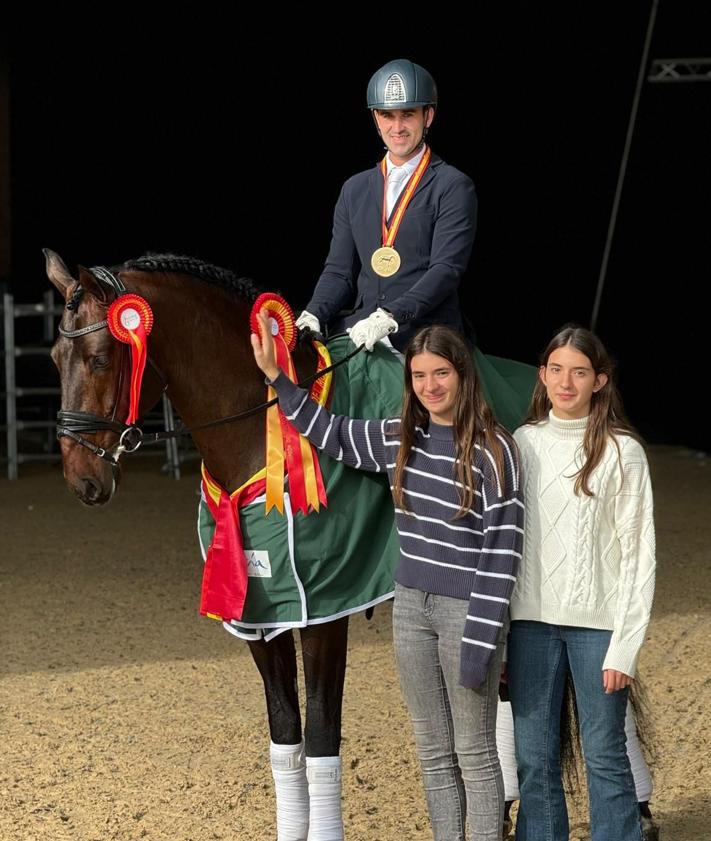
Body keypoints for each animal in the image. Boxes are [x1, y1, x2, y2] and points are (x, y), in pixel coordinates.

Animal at [47, 246, 394, 836]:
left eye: (98, 358)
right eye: (52, 357)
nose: (81, 480)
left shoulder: (327, 613)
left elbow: (322, 739)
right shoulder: (259, 615)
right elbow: (286, 736)